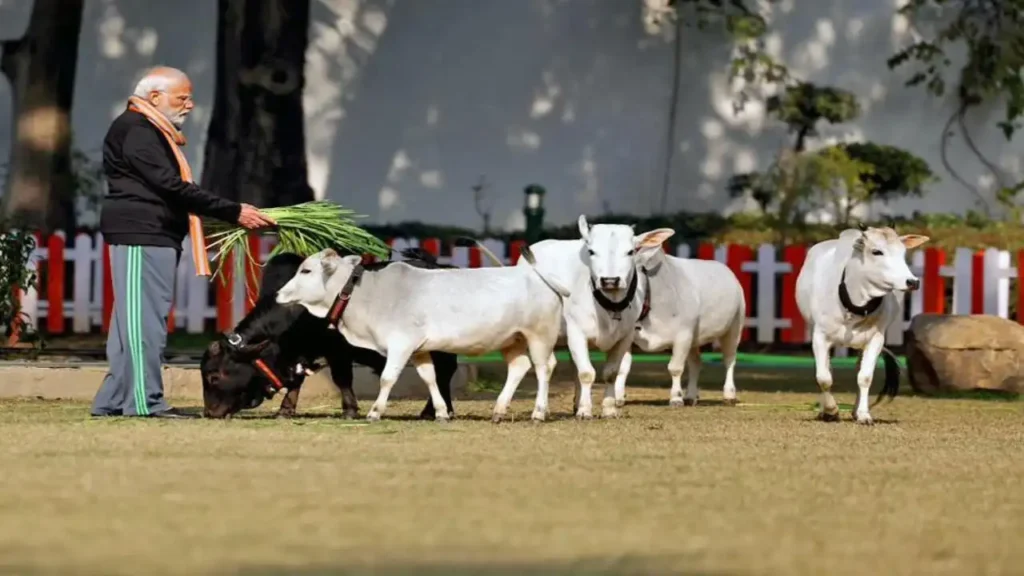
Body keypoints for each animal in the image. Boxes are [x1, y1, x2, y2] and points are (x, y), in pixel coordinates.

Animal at [199, 249, 456, 420]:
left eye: (214, 376)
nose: (209, 412)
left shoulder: (338, 351)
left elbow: (342, 378)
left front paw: (350, 410)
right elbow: (297, 381)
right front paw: (285, 409)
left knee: (444, 373)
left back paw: (433, 411)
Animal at [276, 243, 573, 420]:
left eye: (306, 270)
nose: (279, 293)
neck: (367, 293)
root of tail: (537, 275)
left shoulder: (400, 344)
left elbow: (387, 378)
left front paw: (375, 411)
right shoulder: (420, 349)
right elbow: (429, 378)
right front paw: (440, 412)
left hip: (539, 336)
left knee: (544, 368)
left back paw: (538, 412)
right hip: (513, 340)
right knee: (519, 367)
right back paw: (499, 410)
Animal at [622, 243, 745, 405]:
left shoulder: (682, 335)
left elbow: (675, 368)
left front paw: (675, 398)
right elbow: (623, 367)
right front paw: (618, 397)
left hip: (734, 327)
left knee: (729, 359)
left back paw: (729, 394)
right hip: (694, 337)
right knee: (696, 363)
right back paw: (691, 395)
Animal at [794, 226, 933, 424]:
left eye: (903, 252)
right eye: (877, 251)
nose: (912, 281)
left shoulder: (875, 339)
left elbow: (865, 377)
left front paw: (863, 414)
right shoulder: (820, 337)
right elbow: (824, 377)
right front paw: (831, 410)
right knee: (827, 369)